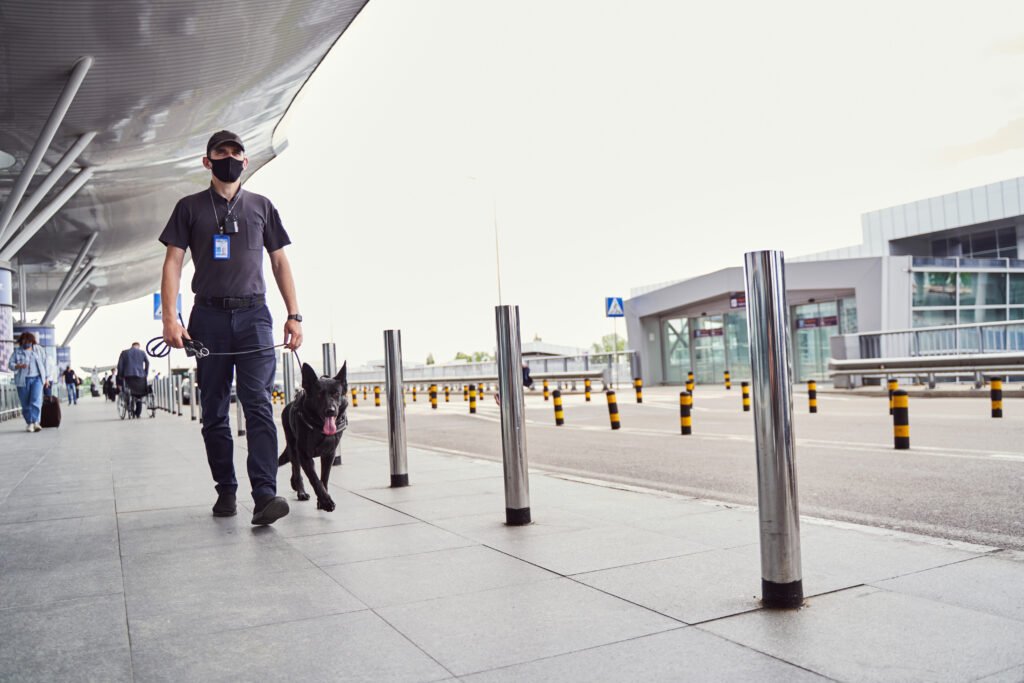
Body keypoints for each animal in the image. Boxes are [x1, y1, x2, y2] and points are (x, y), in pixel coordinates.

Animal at [276, 362, 348, 511]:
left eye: (336, 394)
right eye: (319, 395)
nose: (330, 411)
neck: (319, 427)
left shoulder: (329, 454)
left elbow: (324, 478)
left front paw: (322, 501)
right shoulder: (305, 455)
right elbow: (315, 479)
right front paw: (326, 501)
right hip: (293, 448)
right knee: (296, 469)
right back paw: (301, 492)